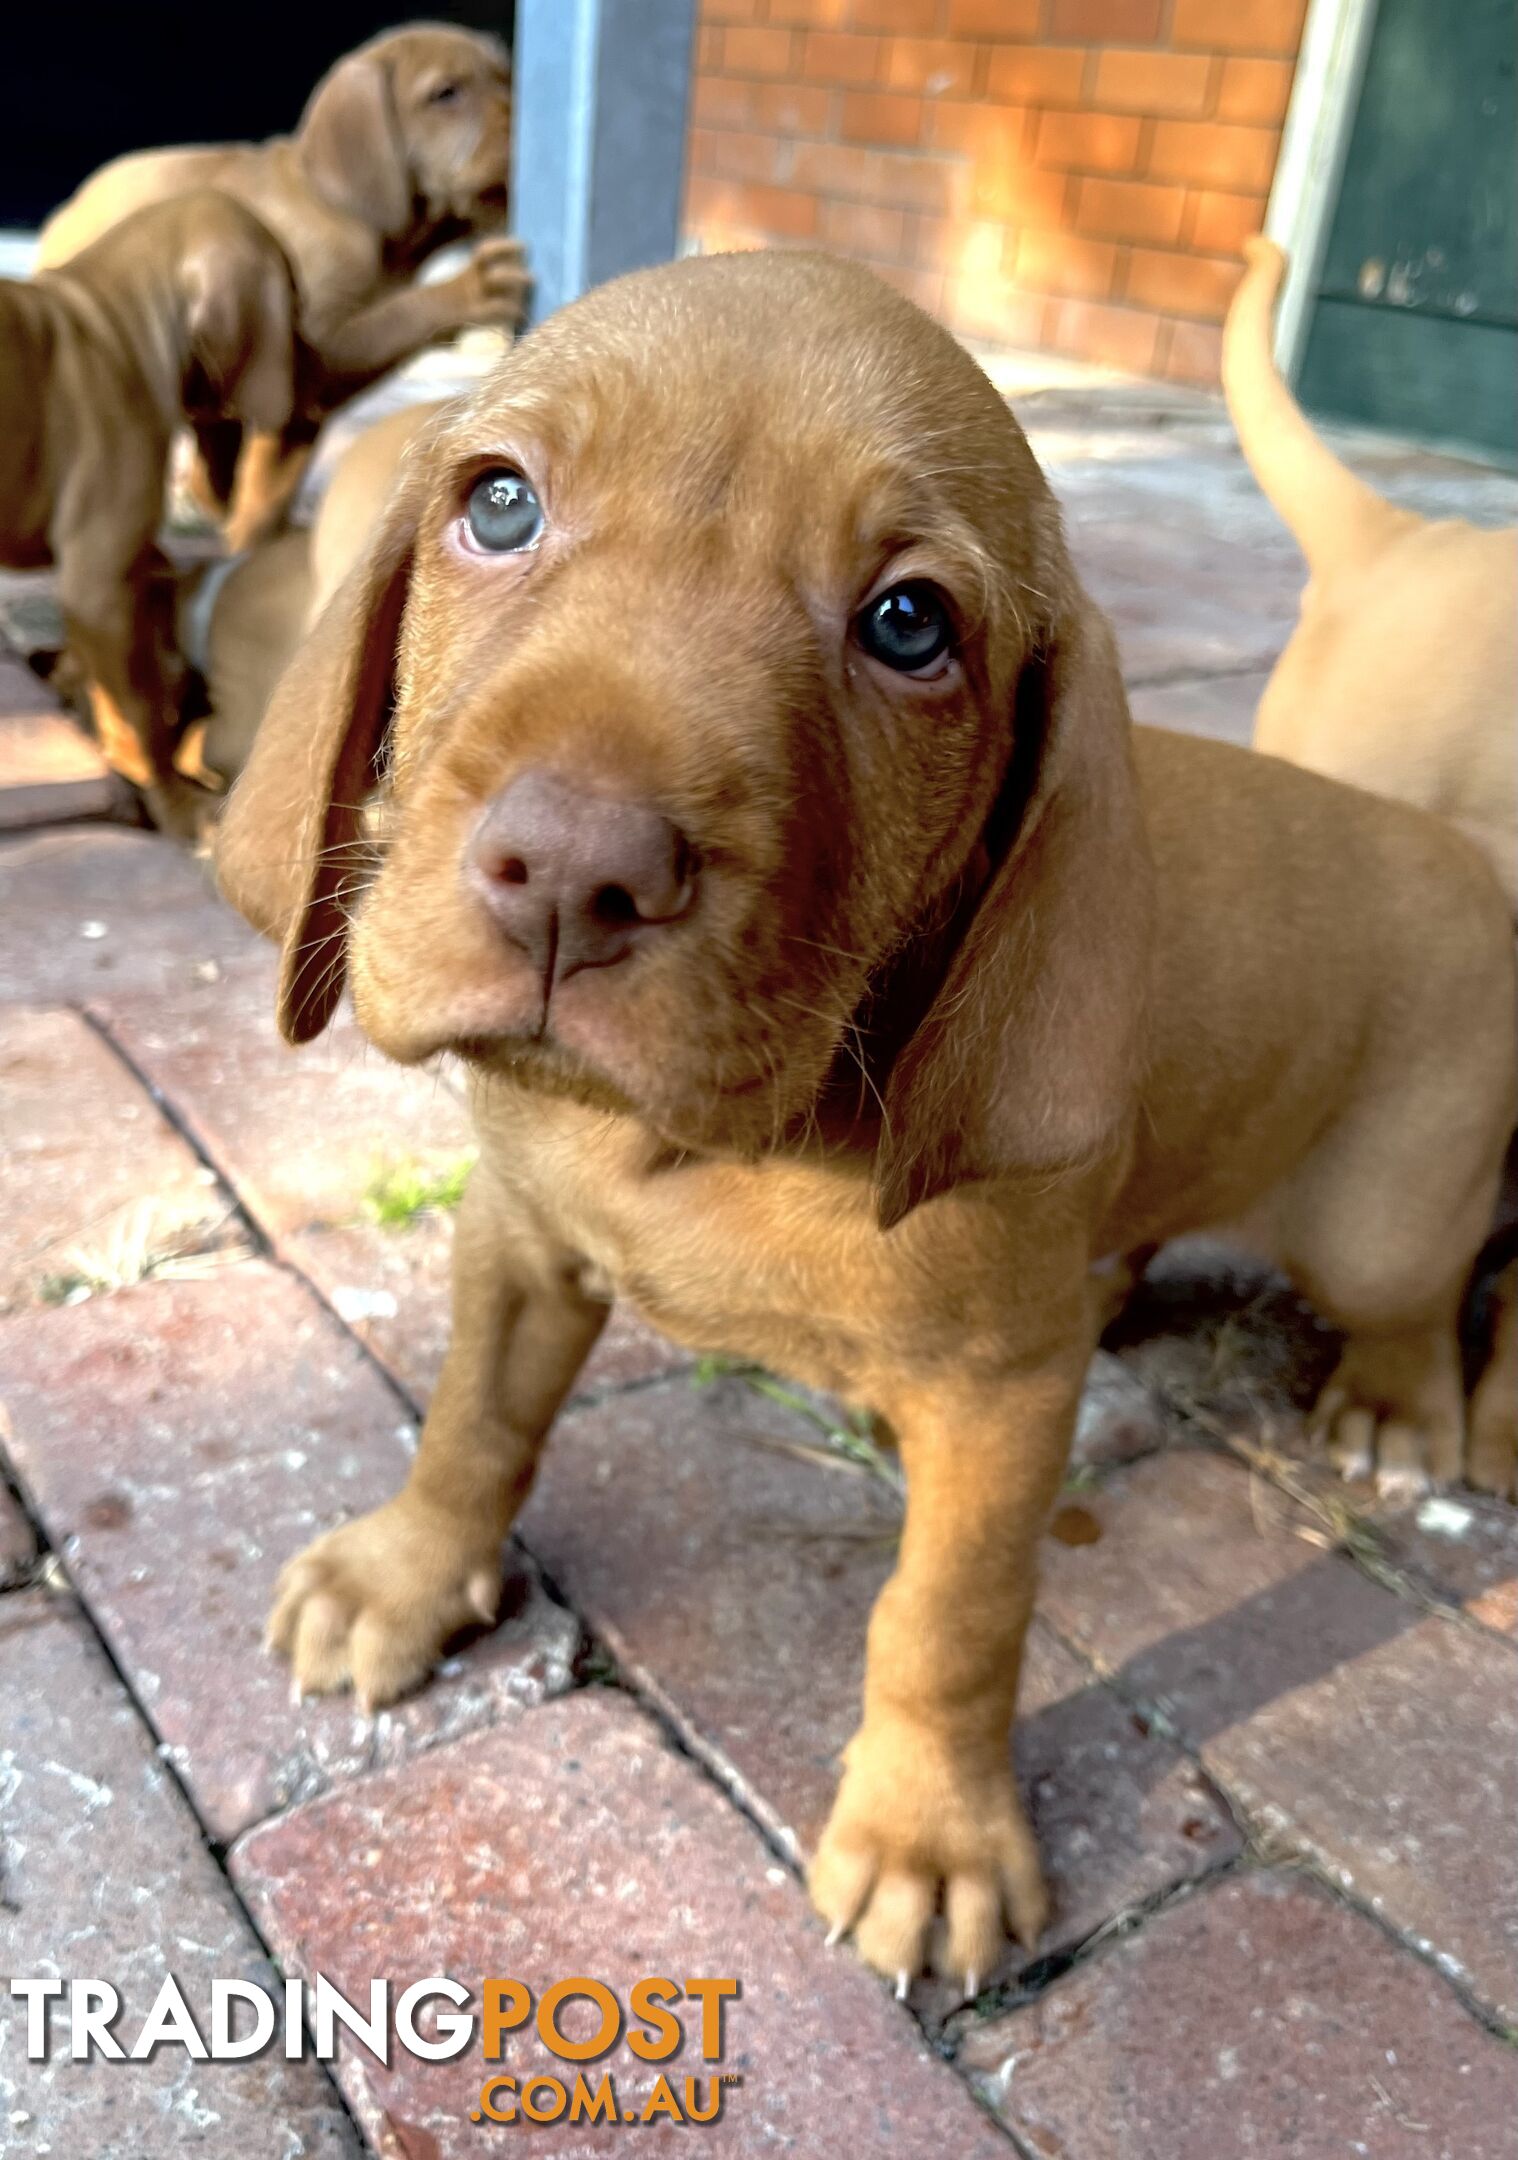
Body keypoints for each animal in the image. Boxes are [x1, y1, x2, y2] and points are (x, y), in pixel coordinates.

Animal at [1, 190, 302, 829]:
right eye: (294, 301)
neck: (112, 320)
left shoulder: (113, 567)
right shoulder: (97, 581)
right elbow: (138, 710)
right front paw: (173, 796)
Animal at [39, 25, 522, 548]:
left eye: (507, 78)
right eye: (446, 94)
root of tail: (65, 212)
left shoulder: (300, 405)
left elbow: (267, 491)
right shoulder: (316, 354)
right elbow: (399, 314)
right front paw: (472, 288)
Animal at [217, 252, 1518, 1987]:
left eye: (909, 625)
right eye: (498, 504)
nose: (570, 870)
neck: (707, 1148)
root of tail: (1463, 853)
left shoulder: (1003, 1399)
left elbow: (947, 1621)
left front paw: (932, 1833)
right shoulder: (520, 1235)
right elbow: (472, 1422)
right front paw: (407, 1575)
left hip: (1384, 1218)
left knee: (1421, 1296)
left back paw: (1395, 1406)